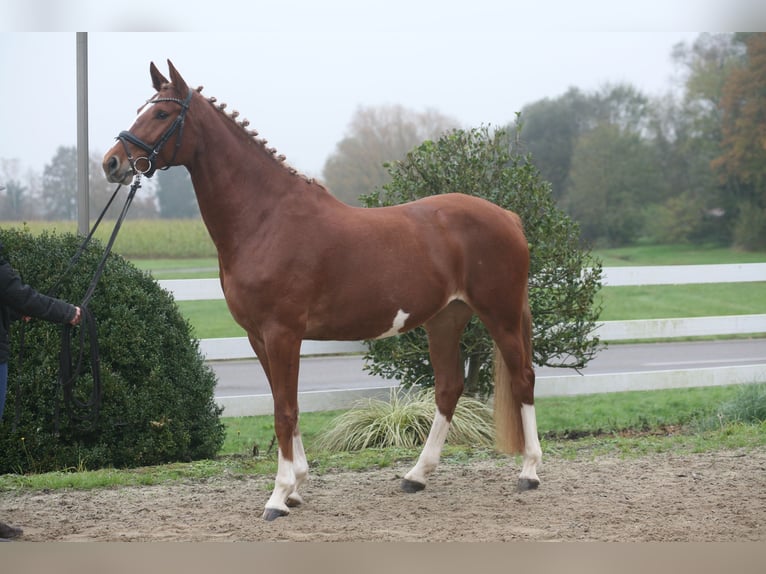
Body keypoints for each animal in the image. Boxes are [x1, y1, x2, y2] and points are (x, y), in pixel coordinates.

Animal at [103, 62, 544, 520]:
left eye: (161, 114)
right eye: (141, 109)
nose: (112, 163)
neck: (265, 219)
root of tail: (508, 217)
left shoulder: (282, 333)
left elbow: (284, 410)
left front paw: (278, 496)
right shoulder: (258, 337)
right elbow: (287, 406)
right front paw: (296, 486)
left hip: (500, 314)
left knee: (523, 378)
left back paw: (529, 472)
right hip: (445, 319)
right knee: (448, 388)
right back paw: (416, 475)